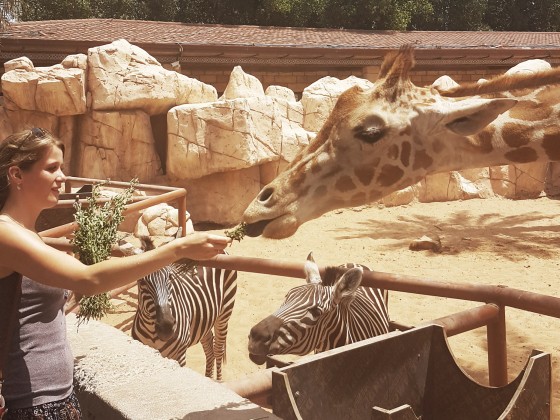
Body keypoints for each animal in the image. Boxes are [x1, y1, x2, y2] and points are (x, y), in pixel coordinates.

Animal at [131, 236, 236, 380]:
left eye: (169, 278)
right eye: (142, 282)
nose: (167, 328)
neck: (152, 332)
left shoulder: (179, 357)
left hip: (225, 313)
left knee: (218, 349)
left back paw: (218, 381)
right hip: (204, 317)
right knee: (209, 346)